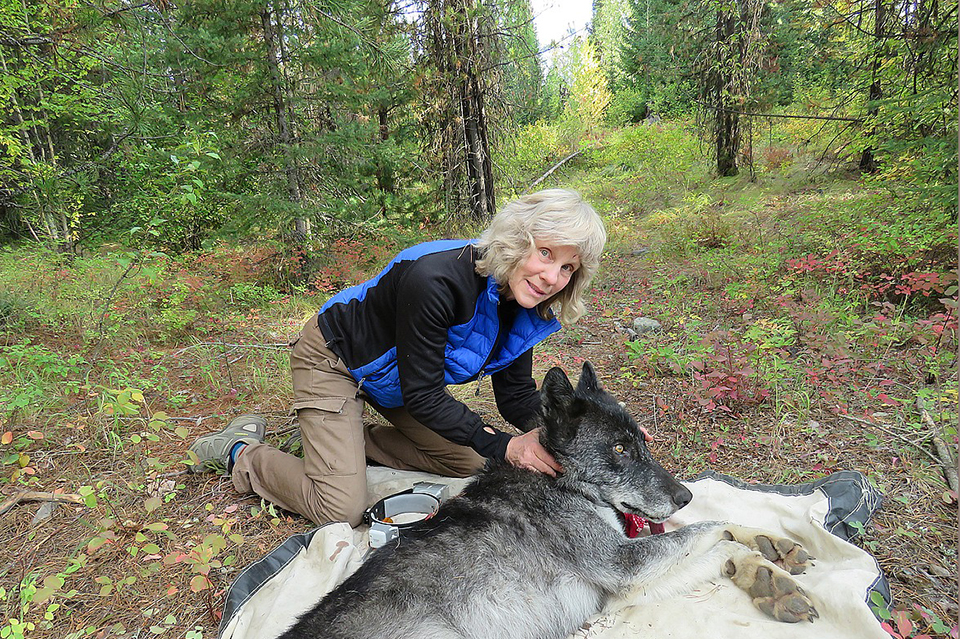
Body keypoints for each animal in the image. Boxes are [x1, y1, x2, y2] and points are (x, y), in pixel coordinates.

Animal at [278, 362, 816, 636]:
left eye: (640, 441)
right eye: (619, 449)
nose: (683, 495)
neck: (564, 484)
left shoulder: (620, 589)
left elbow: (718, 529)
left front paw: (768, 561)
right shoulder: (623, 564)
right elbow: (714, 528)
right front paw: (764, 567)